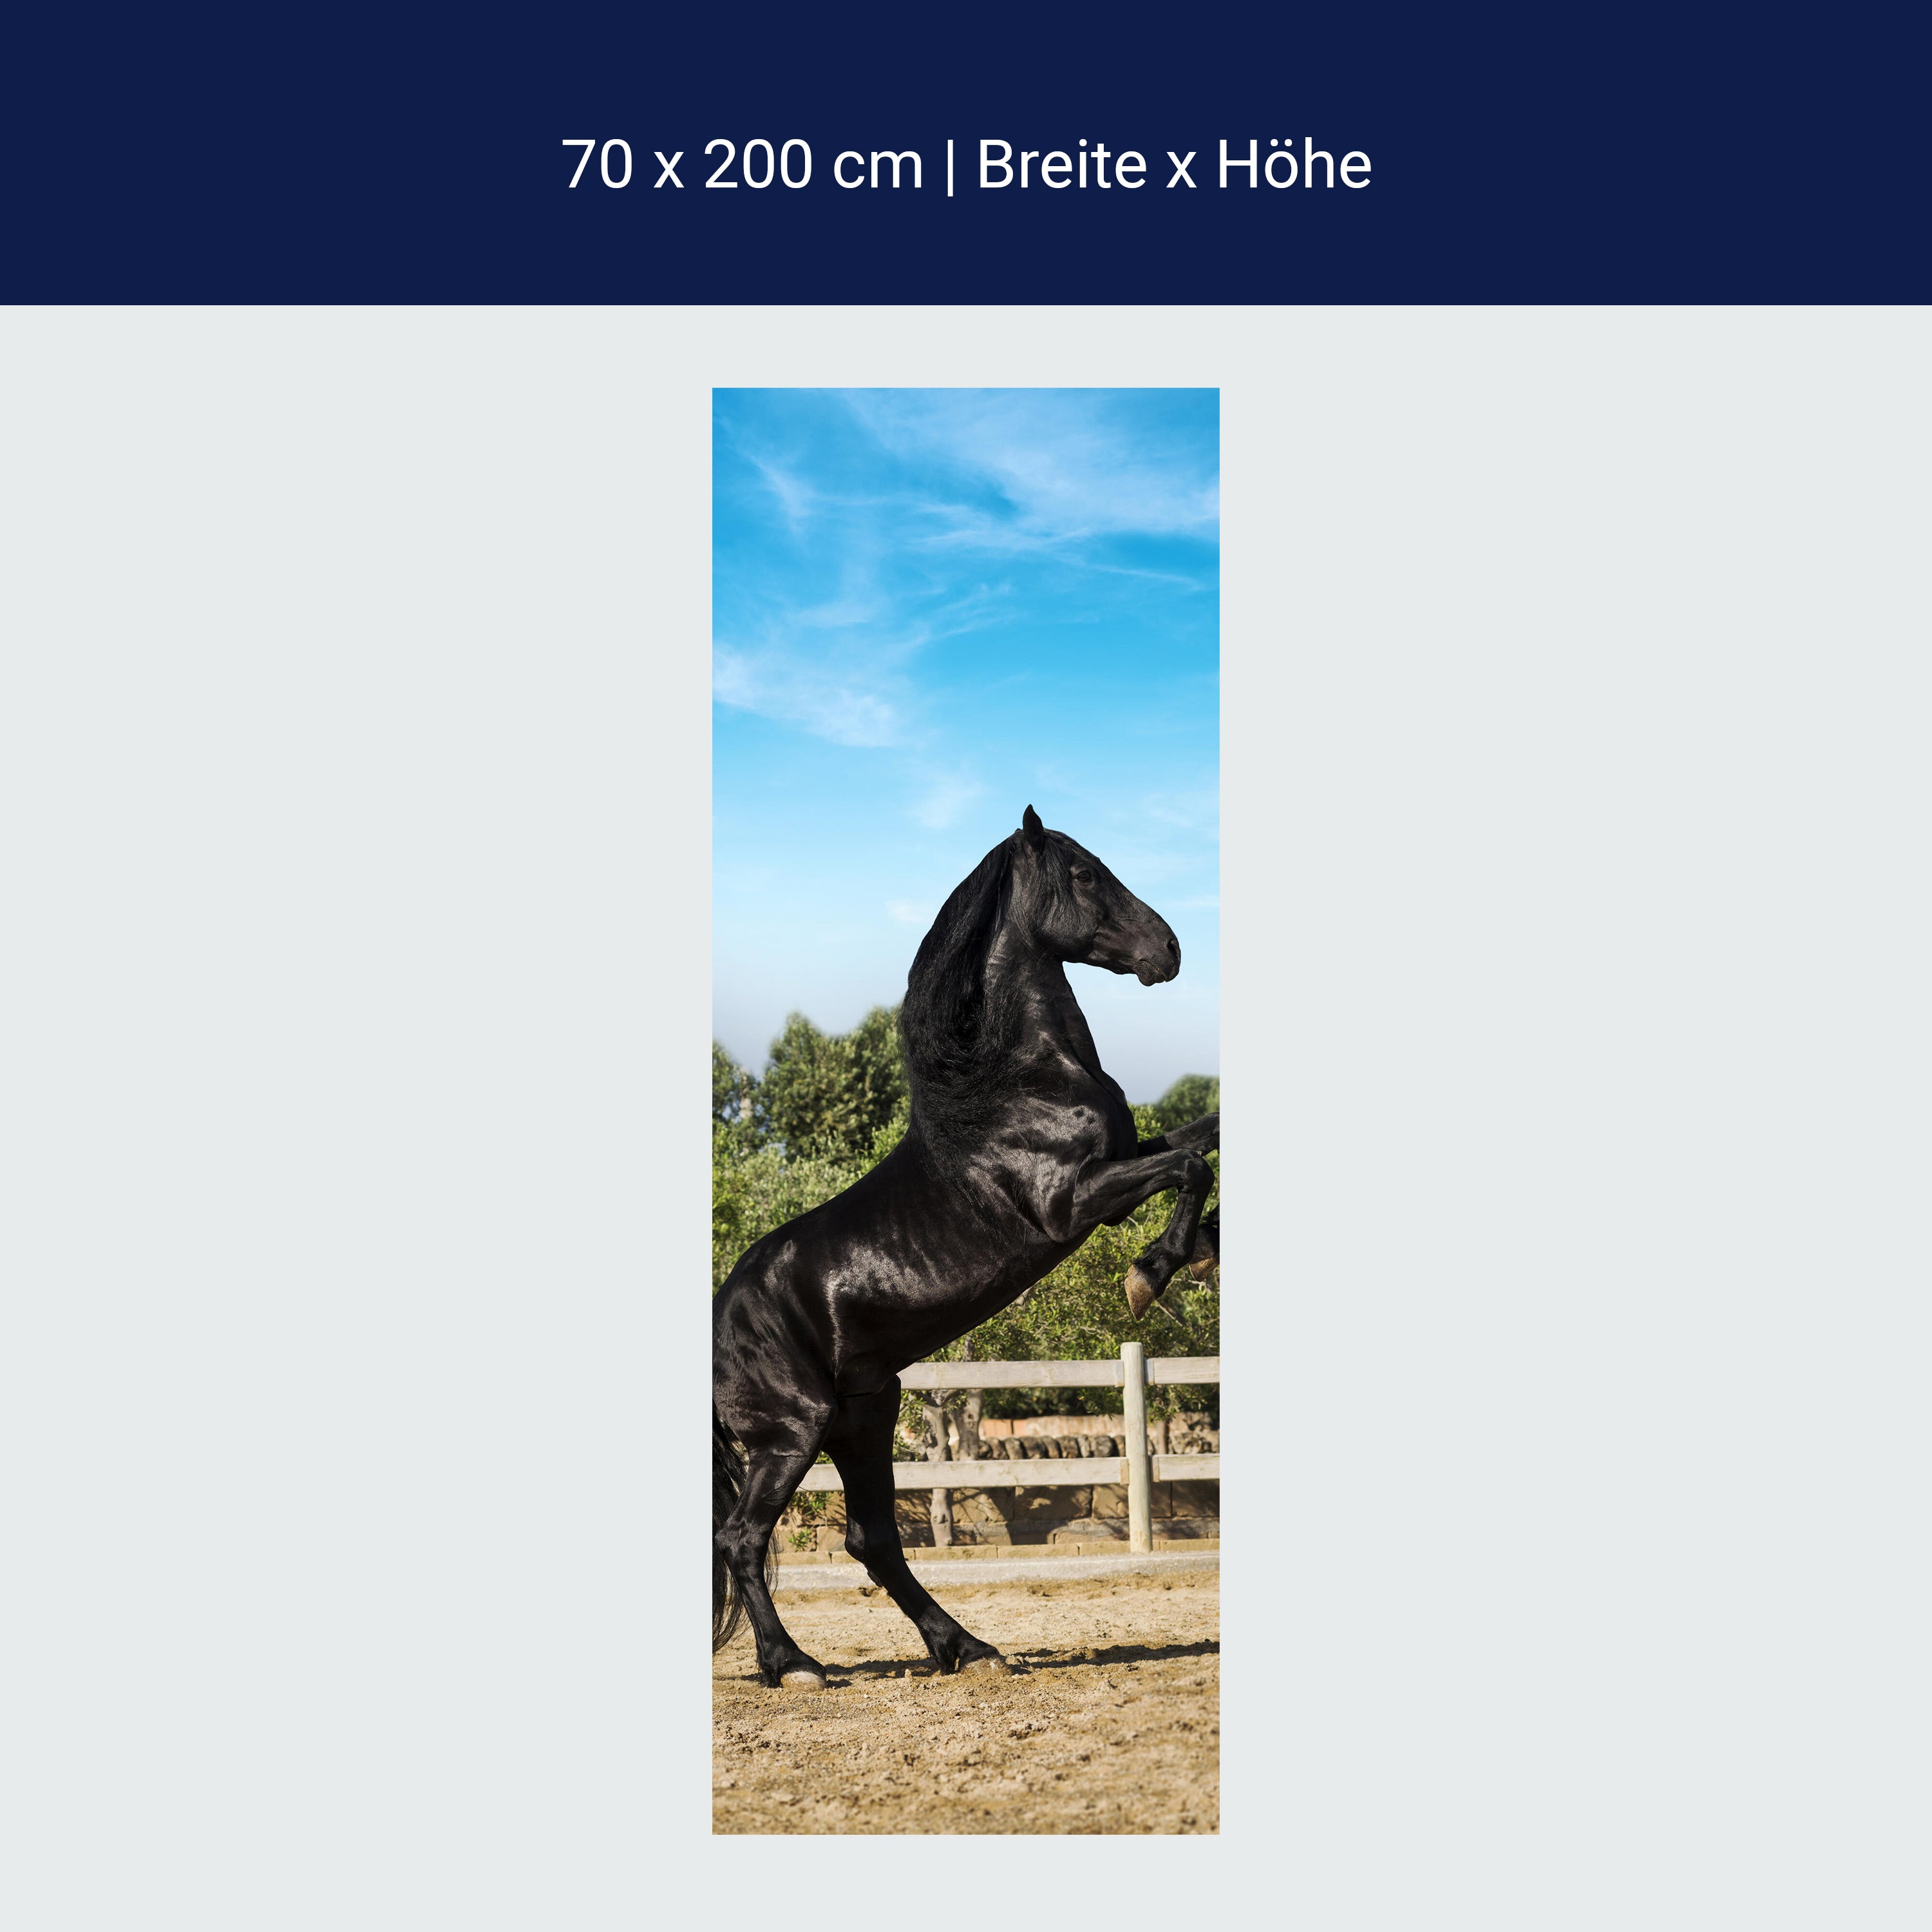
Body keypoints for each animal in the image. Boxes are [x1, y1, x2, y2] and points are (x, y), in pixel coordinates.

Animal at [712, 806, 1219, 1689]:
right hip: (795, 1429)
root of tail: (717, 1317)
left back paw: (969, 1649)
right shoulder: (1076, 1202)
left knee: (874, 1541)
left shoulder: (1123, 1164)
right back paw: (796, 1665)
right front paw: (1148, 1275)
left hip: (864, 1417)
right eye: (1084, 872)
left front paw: (1200, 1255)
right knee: (743, 1538)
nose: (1169, 950)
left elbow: (1209, 1144)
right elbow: (1191, 1165)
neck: (1018, 1083)